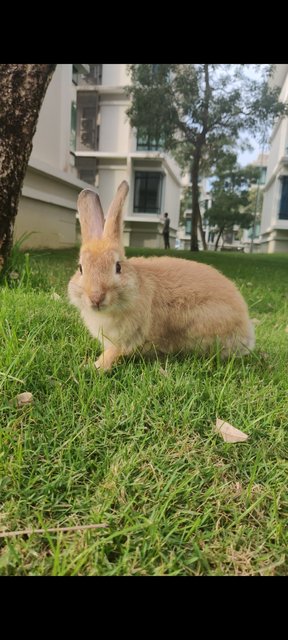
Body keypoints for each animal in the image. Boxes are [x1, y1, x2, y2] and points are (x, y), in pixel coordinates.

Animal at [67, 180, 254, 370]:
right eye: (81, 268)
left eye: (118, 267)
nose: (96, 298)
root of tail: (246, 331)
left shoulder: (128, 338)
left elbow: (114, 352)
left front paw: (96, 366)